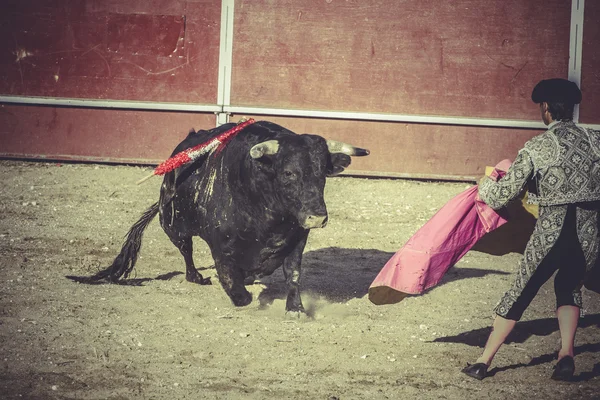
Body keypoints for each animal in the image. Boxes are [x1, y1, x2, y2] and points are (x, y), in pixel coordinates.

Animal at [77, 120, 368, 314]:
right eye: (288, 173)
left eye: (322, 174)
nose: (317, 217)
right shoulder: (221, 246)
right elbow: (231, 280)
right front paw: (242, 298)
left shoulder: (297, 238)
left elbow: (293, 273)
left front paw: (295, 309)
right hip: (172, 225)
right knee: (186, 251)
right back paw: (197, 277)